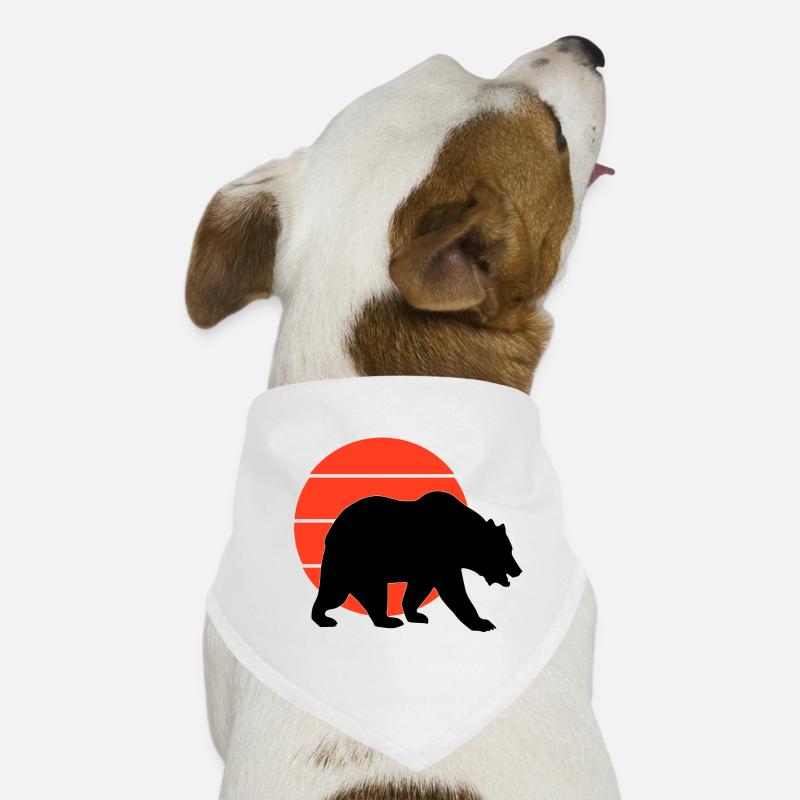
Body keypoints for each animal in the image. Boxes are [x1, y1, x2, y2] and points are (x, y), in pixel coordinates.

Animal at [311, 490, 521, 631]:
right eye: (505, 551)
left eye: (510, 549)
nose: (518, 570)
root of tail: (331, 533)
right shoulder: (440, 557)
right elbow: (454, 590)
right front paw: (484, 623)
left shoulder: (425, 568)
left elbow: (418, 589)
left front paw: (417, 614)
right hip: (358, 559)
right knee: (365, 592)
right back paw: (385, 620)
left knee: (335, 592)